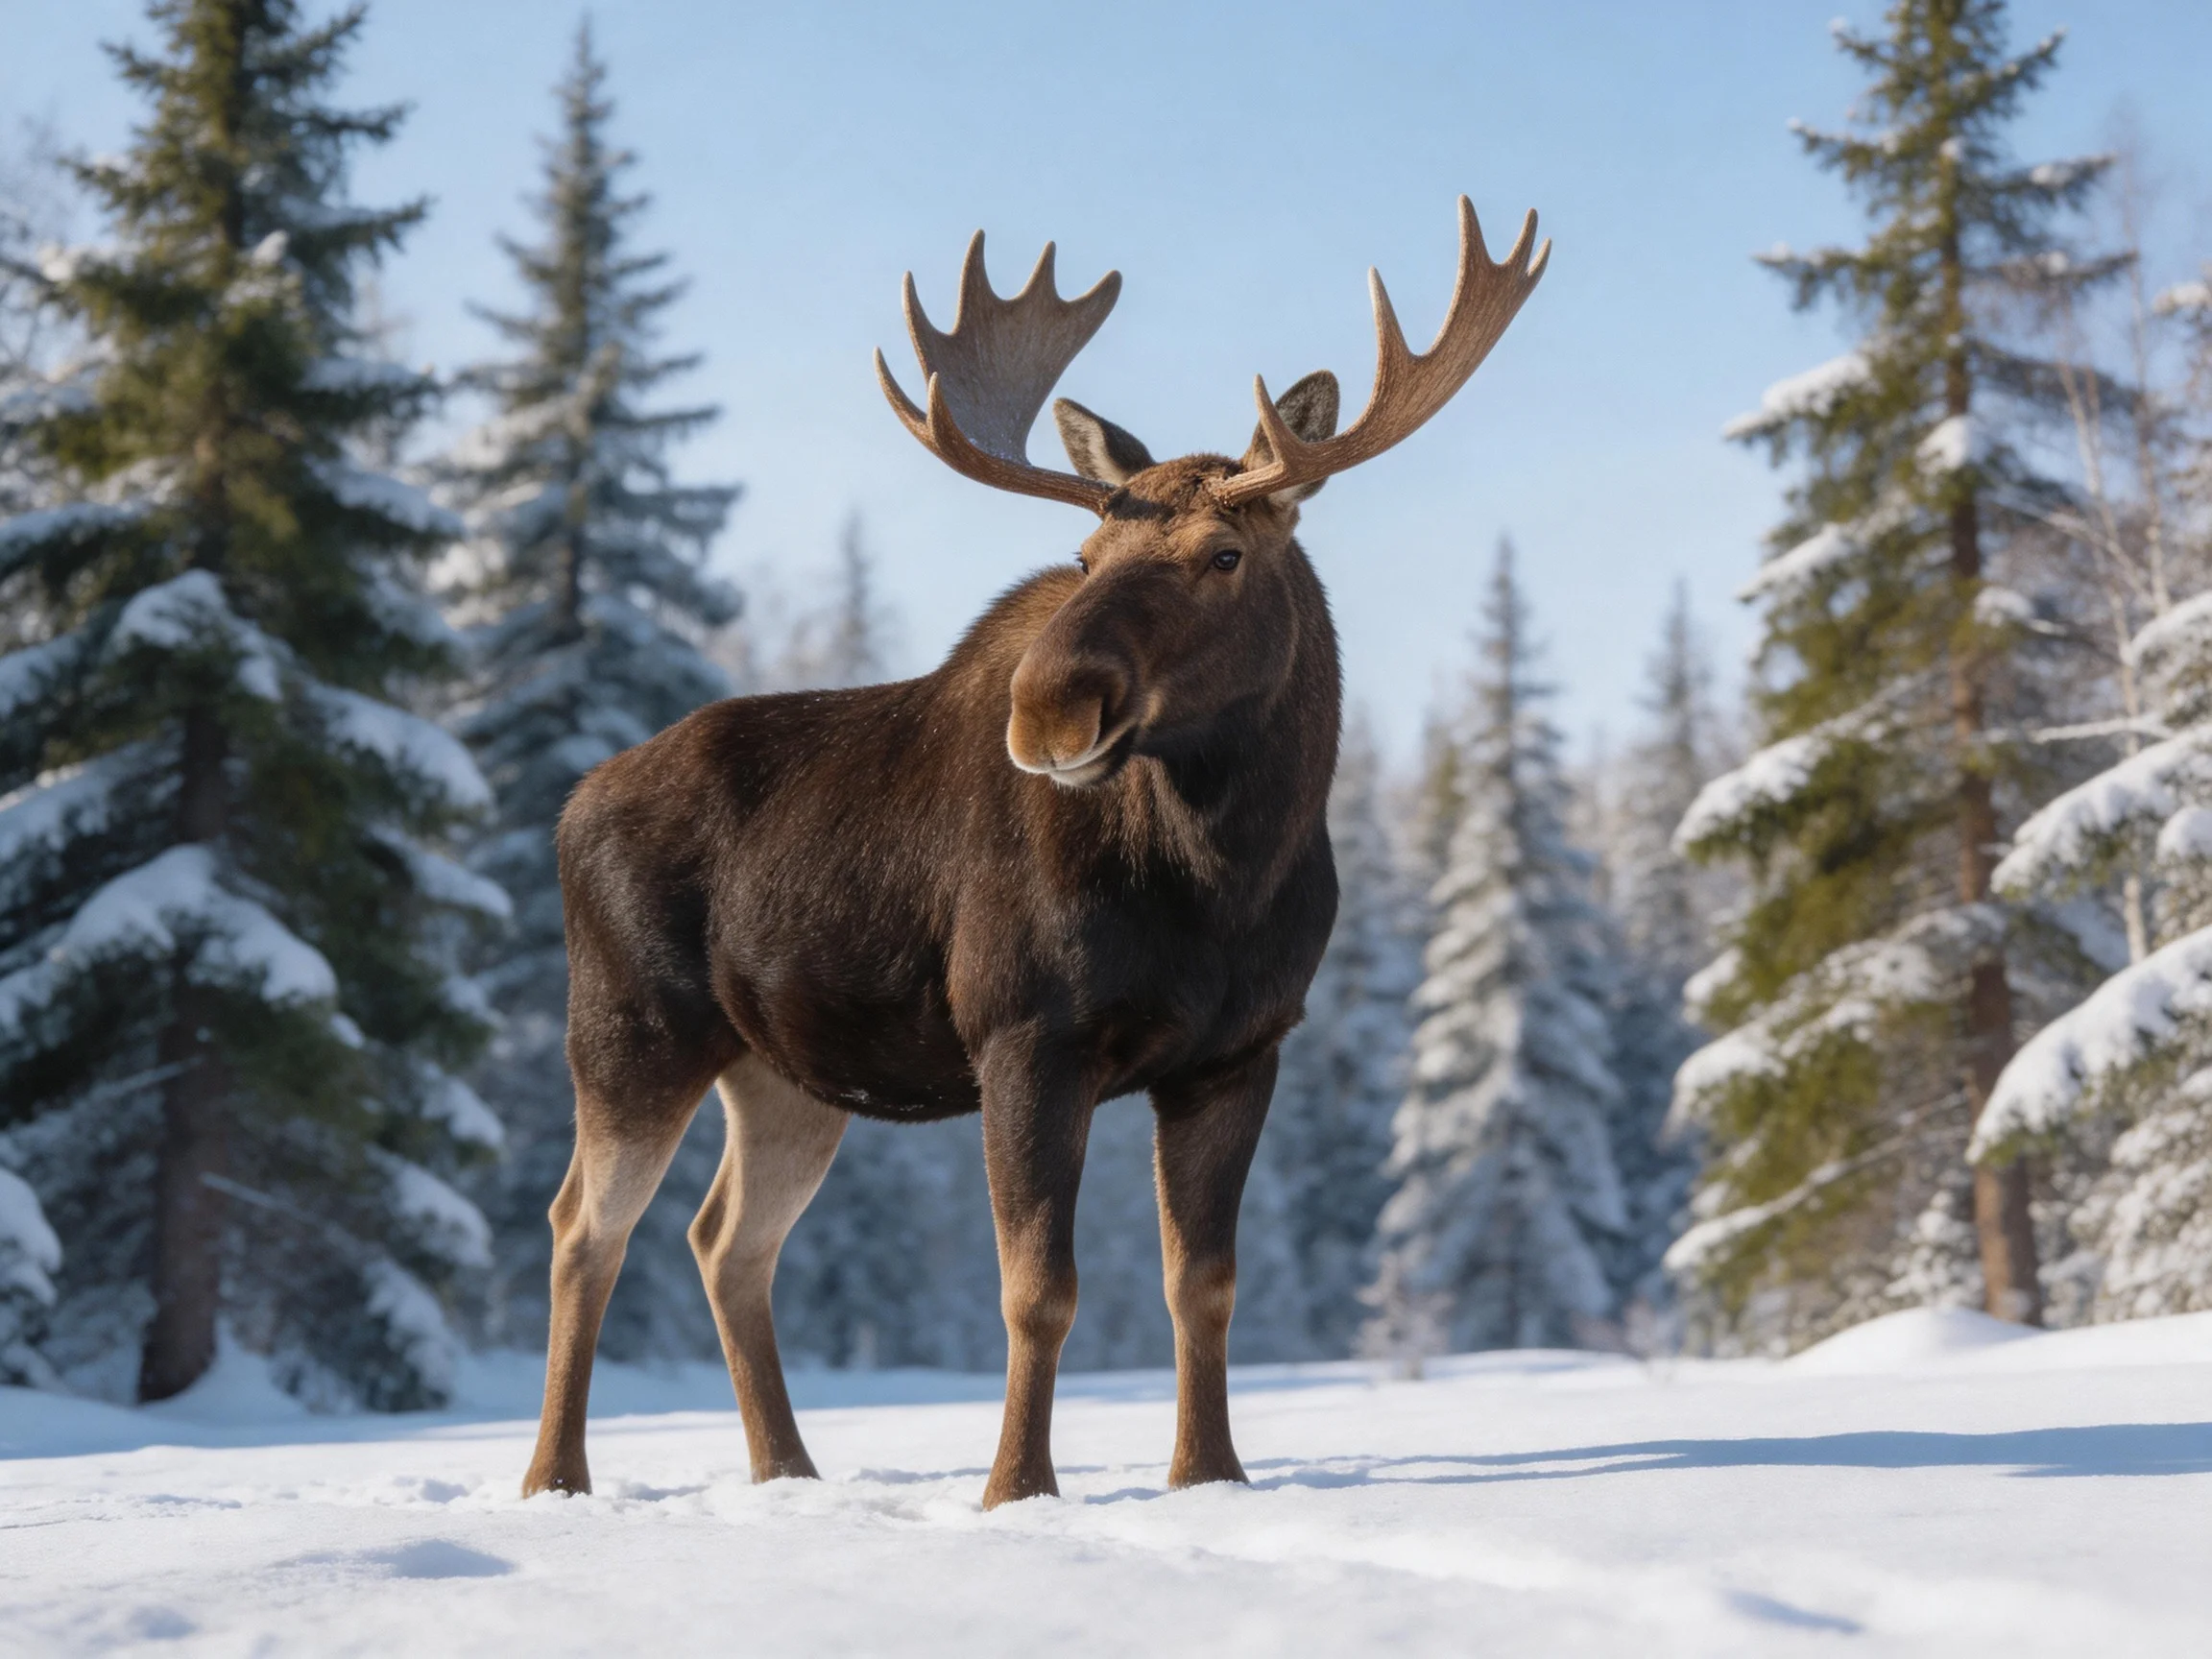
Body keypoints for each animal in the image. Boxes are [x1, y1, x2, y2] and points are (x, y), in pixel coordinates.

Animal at [520, 195, 1548, 1508]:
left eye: (1225, 554)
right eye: (1085, 562)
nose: (1048, 707)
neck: (1226, 875)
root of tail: (571, 805)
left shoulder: (1240, 1052)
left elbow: (1202, 1287)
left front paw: (1210, 1478)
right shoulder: (1024, 1033)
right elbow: (1038, 1291)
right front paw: (1017, 1491)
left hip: (785, 1073)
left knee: (725, 1238)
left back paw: (788, 1473)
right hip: (631, 1034)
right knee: (582, 1231)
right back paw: (557, 1480)